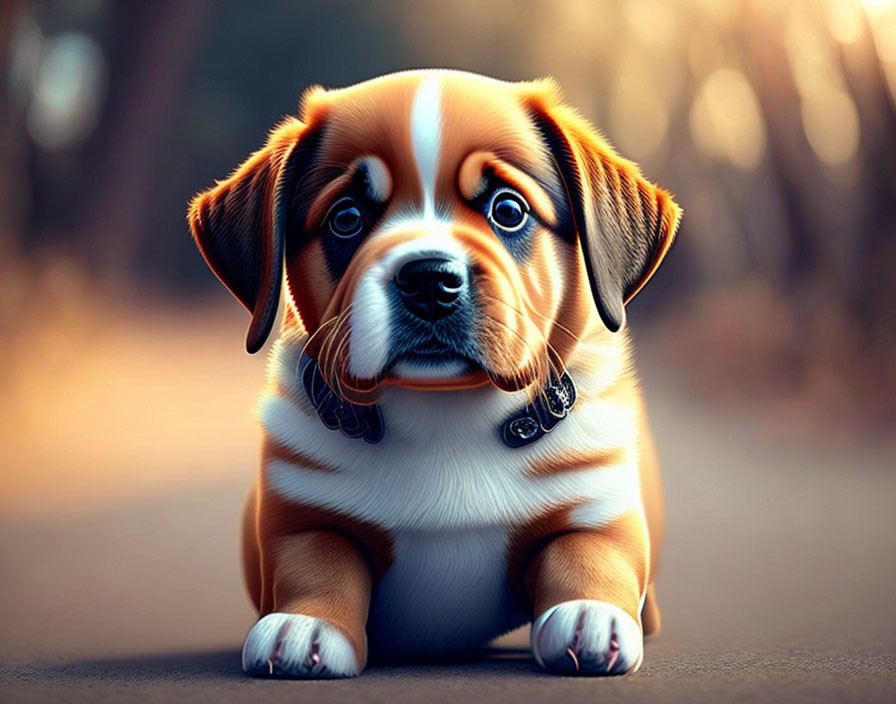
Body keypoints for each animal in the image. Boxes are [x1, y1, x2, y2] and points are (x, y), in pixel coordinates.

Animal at [187, 70, 680, 676]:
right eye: (346, 218)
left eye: (508, 210)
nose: (428, 280)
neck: (443, 414)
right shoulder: (300, 514)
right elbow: (317, 562)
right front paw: (303, 625)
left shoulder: (596, 502)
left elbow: (588, 552)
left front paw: (590, 614)